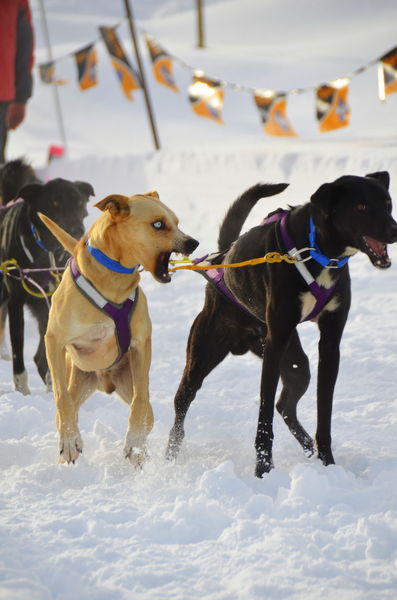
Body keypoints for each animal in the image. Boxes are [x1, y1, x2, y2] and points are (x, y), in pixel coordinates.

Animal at [0, 157, 93, 396]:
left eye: (80, 202)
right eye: (55, 203)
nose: (77, 231)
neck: (48, 251)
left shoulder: (53, 304)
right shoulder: (15, 302)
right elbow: (19, 354)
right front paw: (22, 392)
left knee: (39, 357)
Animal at [39, 191, 197, 464]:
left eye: (177, 222)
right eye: (158, 224)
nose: (192, 243)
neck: (112, 281)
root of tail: (104, 382)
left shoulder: (141, 344)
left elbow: (140, 399)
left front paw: (134, 442)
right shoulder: (54, 340)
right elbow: (61, 397)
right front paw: (69, 440)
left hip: (126, 381)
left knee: (145, 412)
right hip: (77, 379)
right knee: (66, 406)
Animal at [165, 172, 396, 478]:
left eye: (387, 203)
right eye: (361, 207)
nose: (395, 231)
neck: (317, 249)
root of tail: (224, 256)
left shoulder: (330, 342)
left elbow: (324, 410)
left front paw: (327, 462)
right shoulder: (276, 342)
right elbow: (264, 416)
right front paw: (263, 469)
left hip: (297, 366)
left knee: (285, 404)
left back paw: (309, 446)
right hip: (204, 353)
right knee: (183, 402)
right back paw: (169, 456)